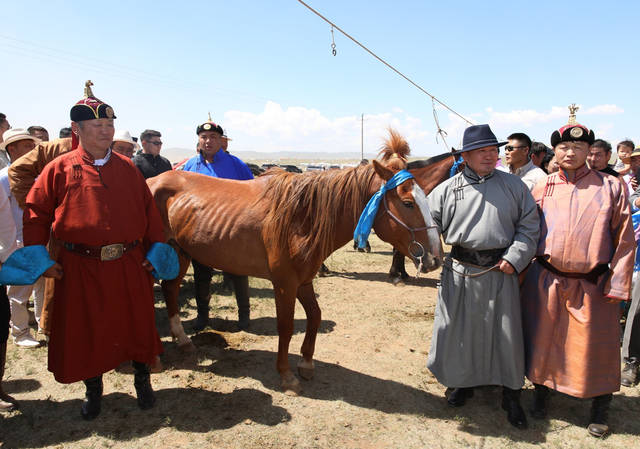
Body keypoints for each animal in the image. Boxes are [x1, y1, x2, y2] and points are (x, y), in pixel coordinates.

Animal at [146, 131, 456, 390]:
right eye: (407, 203)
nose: (435, 257)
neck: (302, 217)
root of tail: (150, 181)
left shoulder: (304, 280)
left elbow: (315, 316)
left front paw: (306, 363)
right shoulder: (284, 283)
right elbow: (286, 326)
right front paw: (285, 374)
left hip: (179, 253)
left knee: (171, 289)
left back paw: (182, 340)